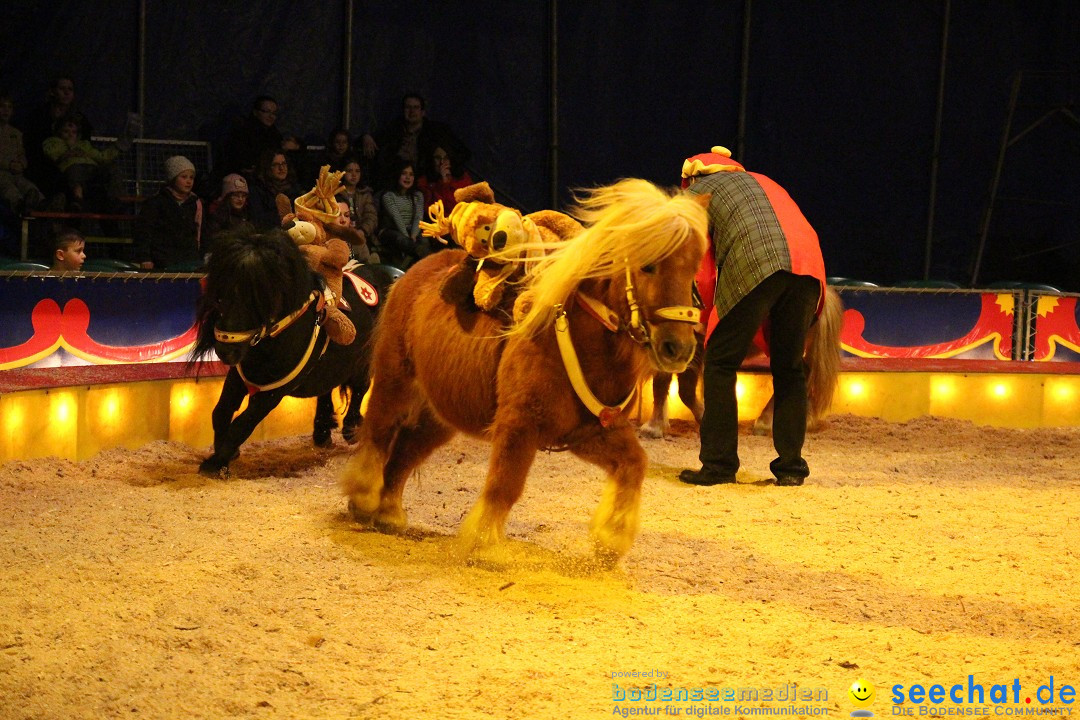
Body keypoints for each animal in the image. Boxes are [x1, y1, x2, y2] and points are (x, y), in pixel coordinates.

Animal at [192, 231, 399, 474]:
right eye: (220, 295)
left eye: (258, 299)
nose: (225, 350)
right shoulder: (239, 375)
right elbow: (221, 412)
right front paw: (226, 453)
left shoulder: (273, 392)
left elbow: (243, 423)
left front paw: (216, 462)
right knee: (327, 390)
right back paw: (322, 433)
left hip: (365, 360)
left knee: (360, 388)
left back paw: (351, 430)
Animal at [336, 180, 708, 561]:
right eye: (648, 266)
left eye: (694, 267)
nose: (679, 348)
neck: (580, 338)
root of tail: (407, 274)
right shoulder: (520, 425)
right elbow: (505, 485)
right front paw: (484, 543)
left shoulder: (590, 433)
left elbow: (635, 464)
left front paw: (610, 540)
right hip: (394, 379)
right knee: (379, 432)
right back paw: (363, 499)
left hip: (439, 413)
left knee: (406, 451)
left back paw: (389, 511)